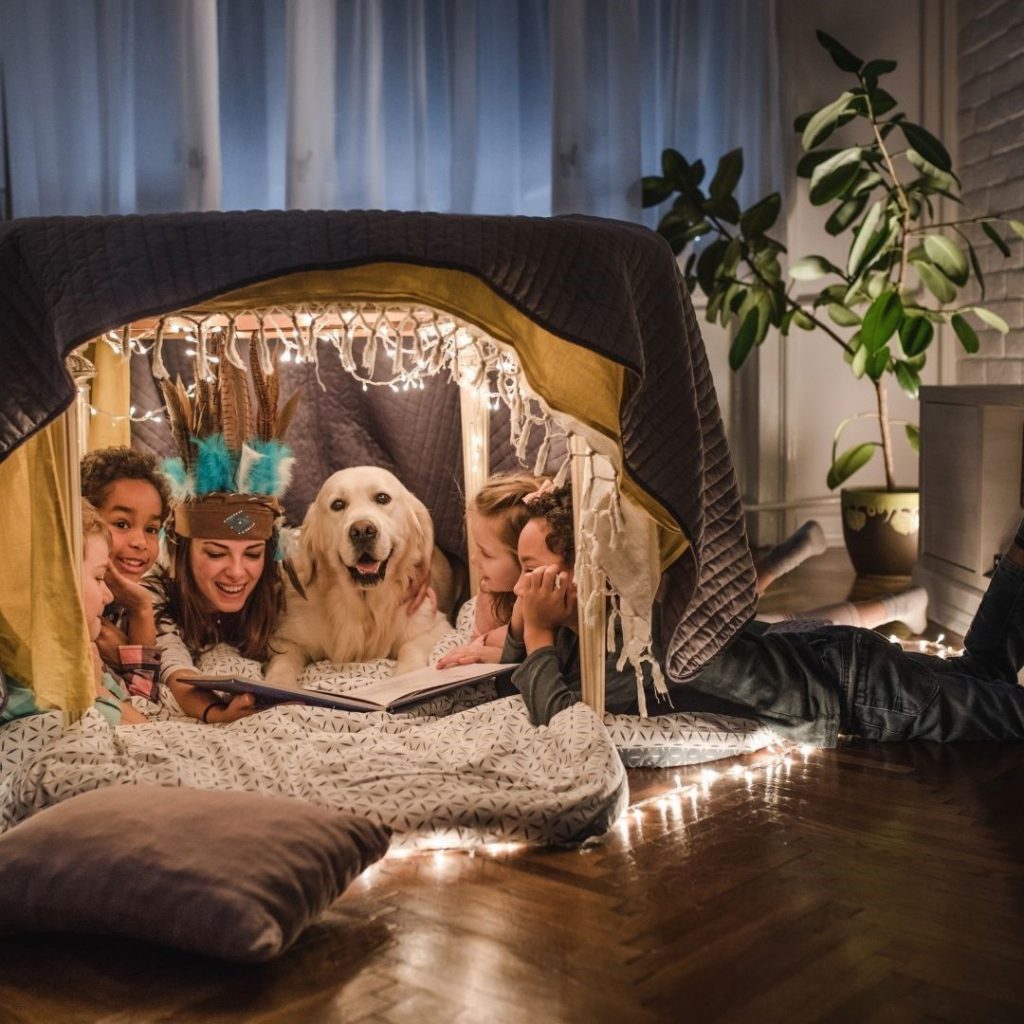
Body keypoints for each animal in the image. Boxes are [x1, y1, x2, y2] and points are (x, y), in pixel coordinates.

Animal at [266, 468, 454, 684]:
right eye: (338, 504)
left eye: (382, 498)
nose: (362, 531)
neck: (364, 605)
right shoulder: (286, 640)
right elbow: (283, 664)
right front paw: (279, 684)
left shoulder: (432, 627)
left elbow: (411, 650)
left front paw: (407, 676)